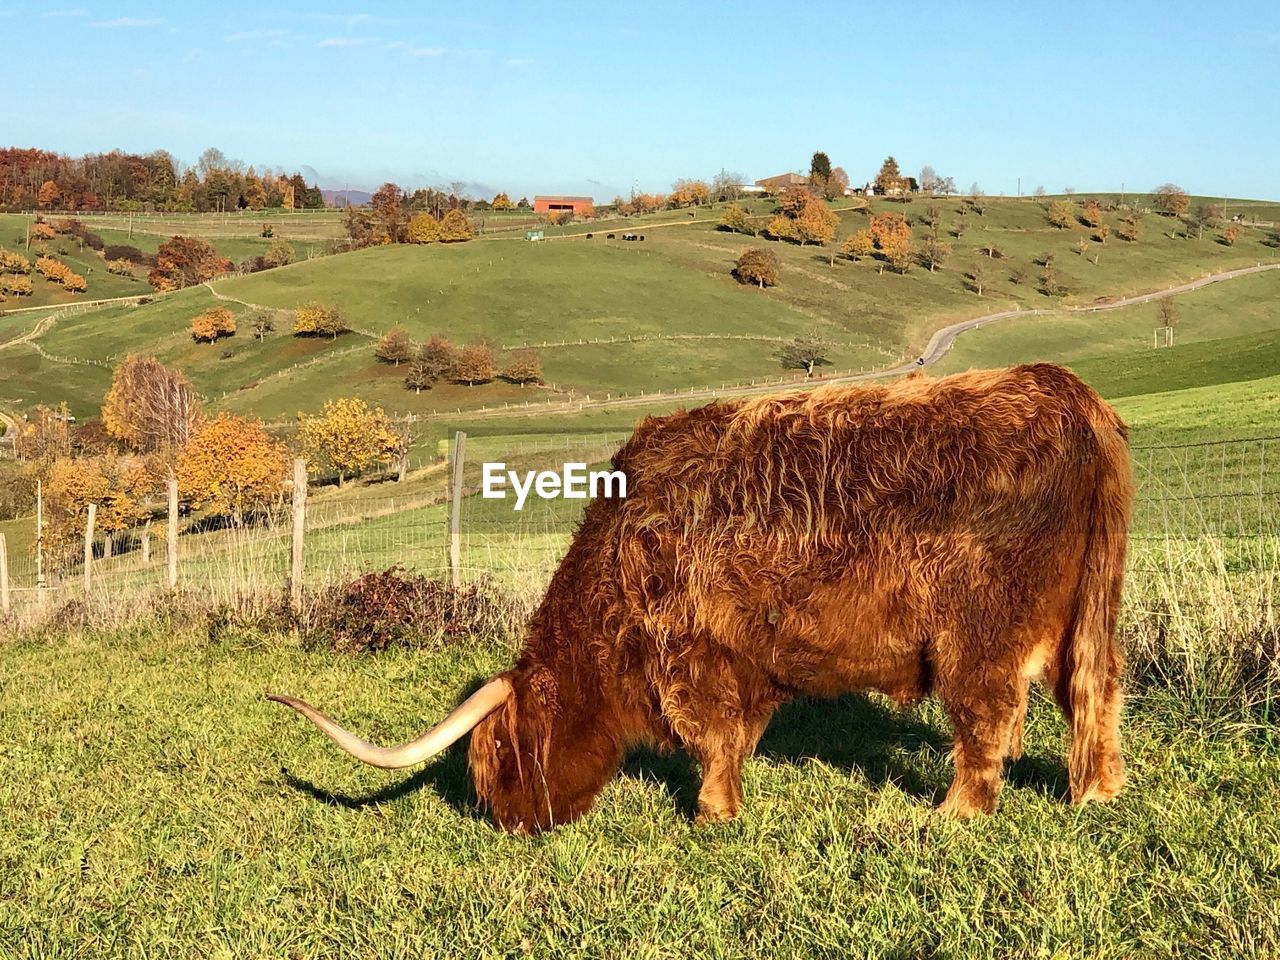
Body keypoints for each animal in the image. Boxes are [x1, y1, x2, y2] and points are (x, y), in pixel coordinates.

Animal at [270, 363, 1131, 829]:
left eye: (501, 754)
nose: (509, 823)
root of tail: (1067, 391)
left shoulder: (693, 652)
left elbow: (712, 738)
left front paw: (714, 813)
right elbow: (736, 736)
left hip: (976, 633)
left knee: (987, 718)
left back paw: (954, 814)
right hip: (1086, 620)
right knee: (1094, 697)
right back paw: (1093, 796)